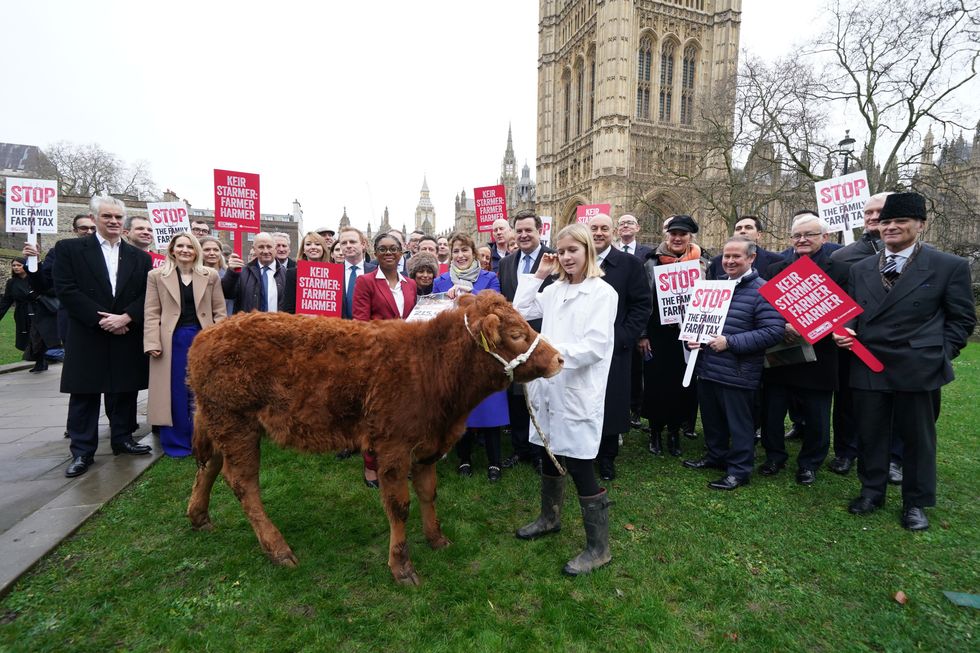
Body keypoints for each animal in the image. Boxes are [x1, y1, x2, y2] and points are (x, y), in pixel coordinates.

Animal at [185, 292, 564, 584]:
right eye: (515, 332)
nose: (559, 358)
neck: (430, 365)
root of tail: (209, 334)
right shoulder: (393, 447)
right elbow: (399, 506)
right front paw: (402, 566)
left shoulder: (427, 445)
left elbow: (428, 492)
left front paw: (437, 538)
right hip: (236, 424)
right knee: (243, 483)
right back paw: (278, 549)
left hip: (217, 422)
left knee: (208, 465)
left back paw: (199, 517)